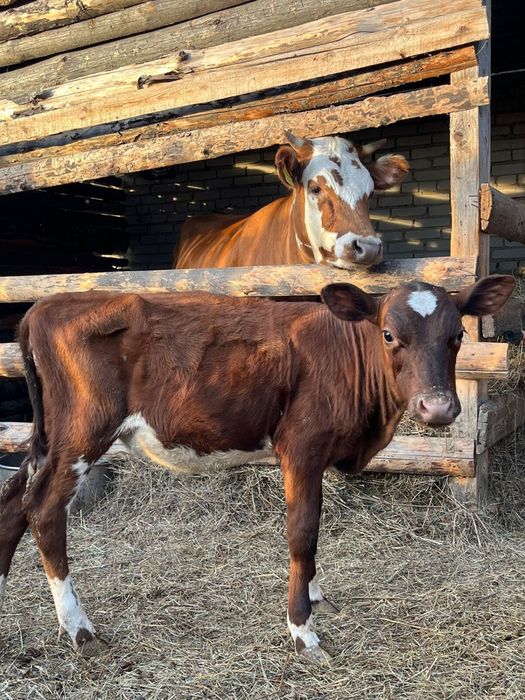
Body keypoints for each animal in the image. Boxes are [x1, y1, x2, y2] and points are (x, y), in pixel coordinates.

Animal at [0, 274, 515, 662]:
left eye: (458, 335)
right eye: (389, 334)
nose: (439, 407)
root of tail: (46, 304)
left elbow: (313, 533)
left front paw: (313, 594)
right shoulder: (301, 447)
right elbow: (303, 532)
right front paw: (302, 630)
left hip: (49, 439)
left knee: (14, 499)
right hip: (82, 433)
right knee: (43, 510)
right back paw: (80, 630)